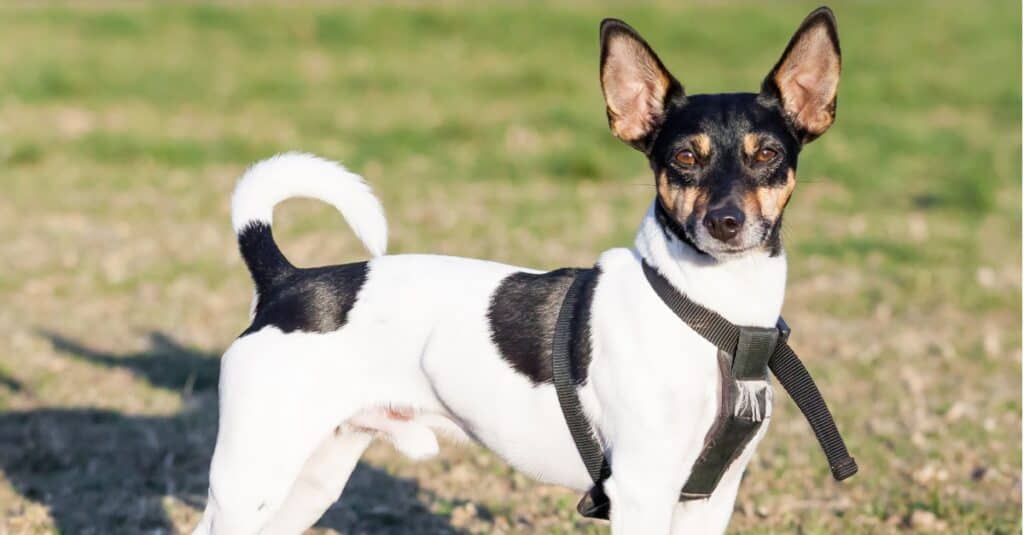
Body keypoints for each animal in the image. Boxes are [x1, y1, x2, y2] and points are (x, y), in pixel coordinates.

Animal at [192, 8, 839, 532]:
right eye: (684, 157)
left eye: (768, 155)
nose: (726, 222)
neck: (711, 313)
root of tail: (285, 281)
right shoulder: (642, 491)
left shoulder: (710, 498)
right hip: (253, 477)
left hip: (310, 479)